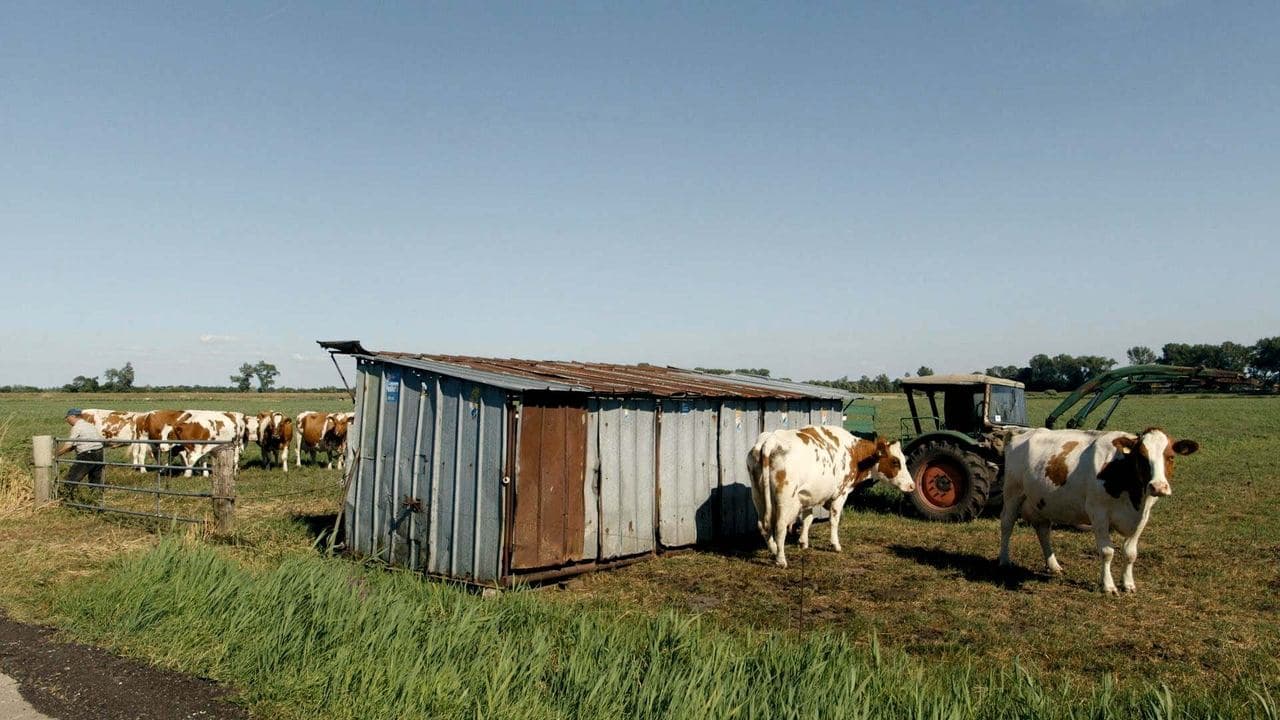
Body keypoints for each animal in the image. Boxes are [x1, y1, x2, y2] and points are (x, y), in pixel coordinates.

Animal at [747, 425, 916, 566]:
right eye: (895, 462)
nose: (912, 485)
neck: (854, 452)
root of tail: (770, 441)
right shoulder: (841, 494)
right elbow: (834, 520)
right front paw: (835, 544)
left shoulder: (808, 495)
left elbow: (808, 519)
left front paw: (803, 542)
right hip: (785, 500)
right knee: (780, 527)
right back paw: (781, 559)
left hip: (758, 495)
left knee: (763, 525)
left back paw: (774, 549)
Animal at [998, 422, 1198, 591]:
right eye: (1141, 457)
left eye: (1170, 457)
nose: (1158, 487)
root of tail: (1021, 432)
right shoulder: (1098, 512)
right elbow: (1107, 551)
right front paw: (1108, 586)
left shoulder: (1143, 516)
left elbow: (1130, 553)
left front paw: (1128, 584)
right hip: (1013, 493)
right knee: (1007, 524)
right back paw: (1004, 560)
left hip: (1041, 501)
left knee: (1043, 531)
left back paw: (1053, 565)